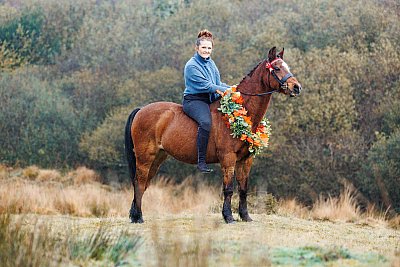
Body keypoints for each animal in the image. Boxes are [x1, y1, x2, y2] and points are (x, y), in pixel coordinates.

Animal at [124, 46, 300, 224]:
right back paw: (139, 217)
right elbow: (228, 189)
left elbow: (243, 189)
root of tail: (141, 110)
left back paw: (134, 215)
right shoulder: (228, 158)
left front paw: (245, 216)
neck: (240, 112)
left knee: (143, 183)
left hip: (158, 157)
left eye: (287, 67)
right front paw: (228, 216)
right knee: (139, 183)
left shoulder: (245, 160)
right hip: (145, 157)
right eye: (276, 68)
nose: (296, 87)